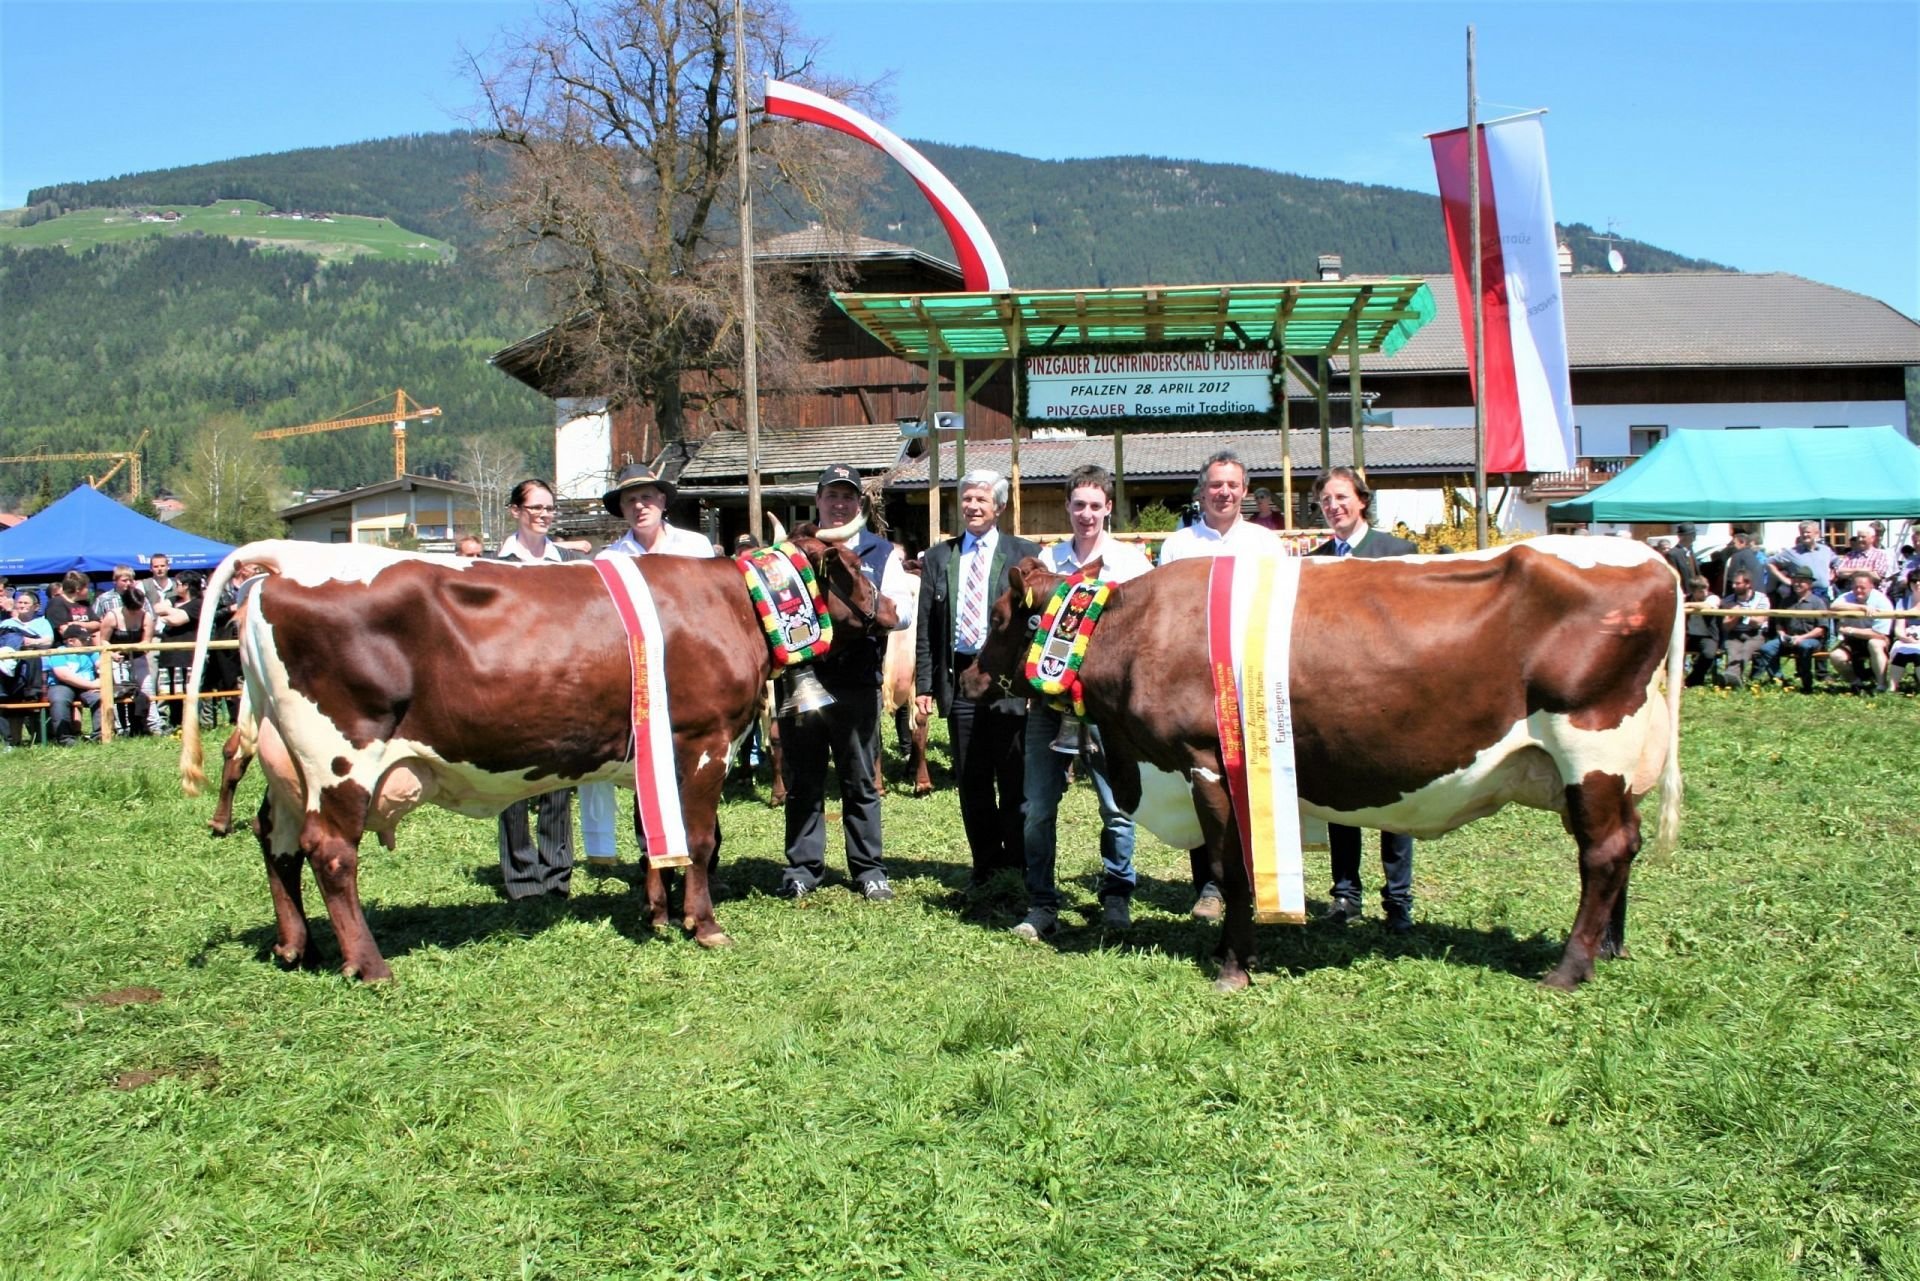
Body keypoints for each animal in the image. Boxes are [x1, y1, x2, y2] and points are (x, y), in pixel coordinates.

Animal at [176, 530, 894, 983]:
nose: (891, 605)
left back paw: (295, 945)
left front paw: (658, 914)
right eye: (857, 571)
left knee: (276, 840)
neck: (735, 602)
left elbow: (654, 838)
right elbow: (698, 839)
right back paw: (371, 966)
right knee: (330, 852)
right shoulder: (702, 741)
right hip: (340, 756)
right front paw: (704, 923)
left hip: (285, 761)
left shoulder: (654, 748)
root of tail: (283, 558)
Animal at [960, 537, 1681, 998]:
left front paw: (1233, 967)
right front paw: (1229, 951)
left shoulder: (1206, 763)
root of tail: (1654, 558)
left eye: (1001, 616)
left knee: (1603, 851)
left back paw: (1568, 967)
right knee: (1622, 843)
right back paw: (1608, 948)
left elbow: (1231, 867)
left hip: (1590, 746)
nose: (966, 675)